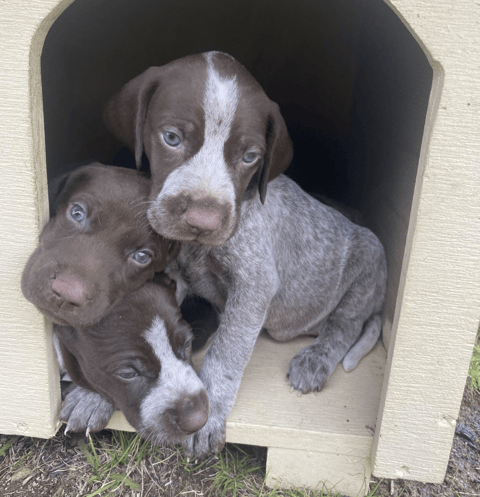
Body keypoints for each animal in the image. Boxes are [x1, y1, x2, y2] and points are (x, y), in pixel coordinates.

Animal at [104, 51, 386, 458]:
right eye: (171, 138)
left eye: (250, 156)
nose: (203, 220)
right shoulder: (173, 274)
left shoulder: (254, 286)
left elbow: (226, 352)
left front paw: (207, 417)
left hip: (369, 257)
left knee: (345, 324)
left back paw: (315, 359)